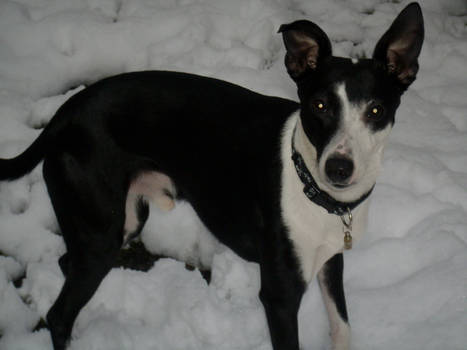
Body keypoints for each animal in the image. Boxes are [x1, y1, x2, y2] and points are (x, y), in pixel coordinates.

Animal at [0, 2, 424, 350]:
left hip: (123, 222)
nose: (338, 168)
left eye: (376, 110)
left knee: (65, 267)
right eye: (319, 105)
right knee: (58, 315)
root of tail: (65, 113)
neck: (312, 190)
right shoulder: (280, 296)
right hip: (101, 235)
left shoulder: (330, 261)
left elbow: (342, 329)